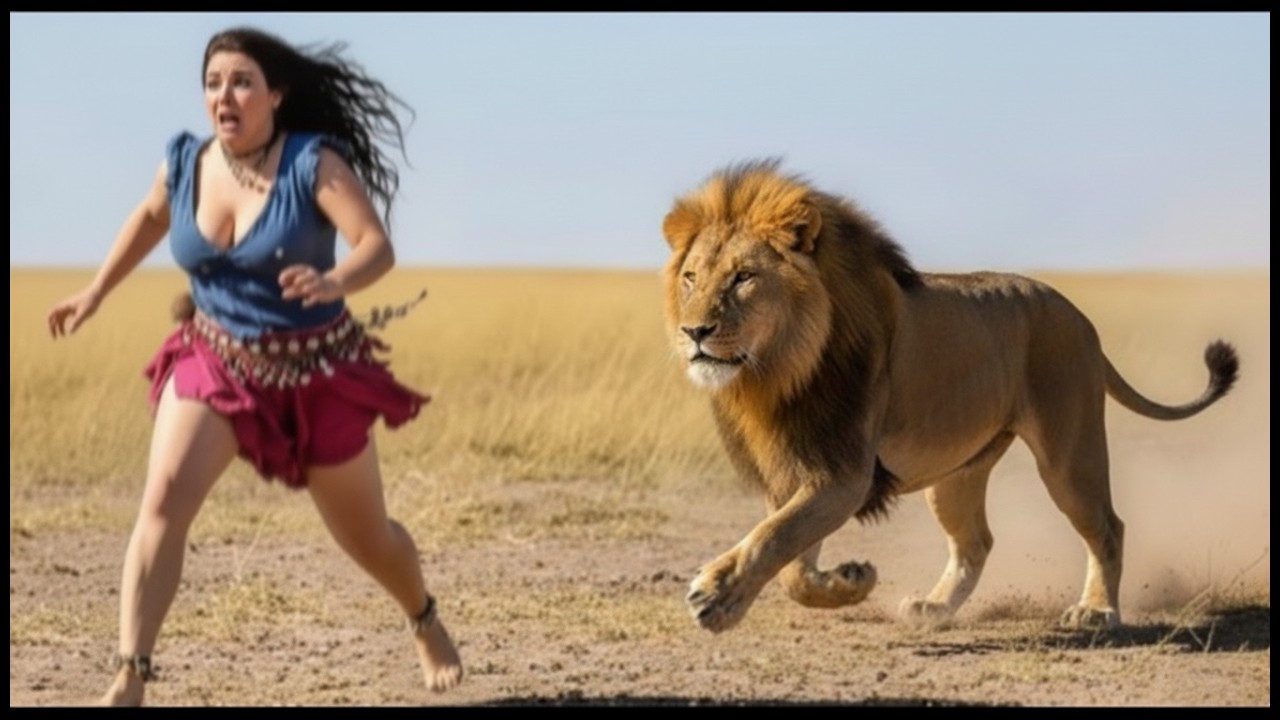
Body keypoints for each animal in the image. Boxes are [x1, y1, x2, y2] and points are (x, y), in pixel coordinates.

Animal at [661, 159, 1239, 634]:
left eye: (743, 277)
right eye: (690, 277)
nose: (694, 332)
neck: (780, 372)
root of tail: (1080, 318)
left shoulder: (845, 474)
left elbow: (775, 537)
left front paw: (717, 597)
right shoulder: (796, 468)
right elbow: (791, 560)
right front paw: (850, 579)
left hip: (1068, 455)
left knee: (1107, 525)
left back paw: (1097, 611)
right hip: (957, 474)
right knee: (976, 542)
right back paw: (935, 607)